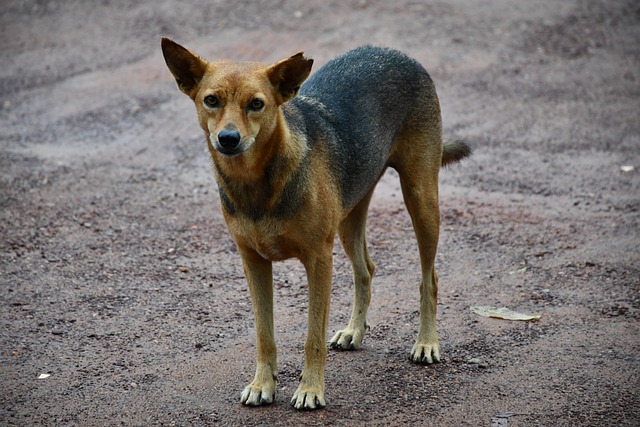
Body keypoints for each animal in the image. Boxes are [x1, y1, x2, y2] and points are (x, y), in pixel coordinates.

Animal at [160, 40, 470, 412]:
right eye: (211, 100)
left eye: (256, 104)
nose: (229, 139)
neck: (257, 183)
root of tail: (394, 52)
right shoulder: (253, 261)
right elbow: (264, 334)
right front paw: (262, 384)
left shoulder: (318, 259)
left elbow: (312, 338)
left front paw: (310, 389)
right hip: (350, 217)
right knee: (366, 269)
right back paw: (354, 331)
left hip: (421, 199)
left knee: (429, 278)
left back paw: (426, 342)